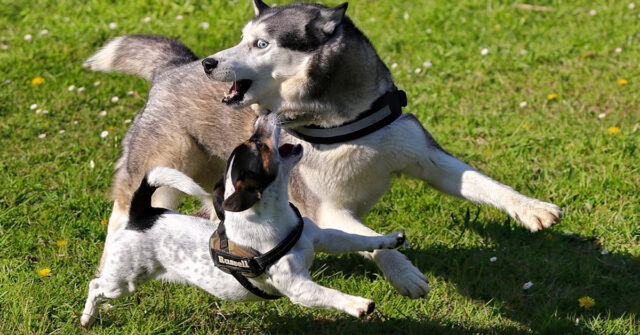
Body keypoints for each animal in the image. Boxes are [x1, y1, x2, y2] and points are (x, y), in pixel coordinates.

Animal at [89, 0, 560, 300]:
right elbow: (370, 240)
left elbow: (481, 183)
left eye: (261, 43)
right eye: (242, 39)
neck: (342, 124)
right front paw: (404, 273)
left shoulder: (426, 157)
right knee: (125, 211)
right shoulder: (325, 207)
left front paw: (531, 208)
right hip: (160, 167)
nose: (210, 63)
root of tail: (175, 65)